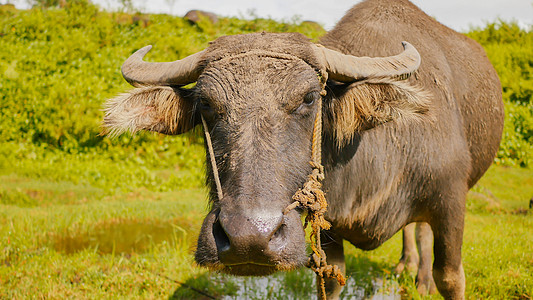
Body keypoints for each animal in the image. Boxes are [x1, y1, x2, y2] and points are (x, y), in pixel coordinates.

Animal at [104, 0, 502, 298]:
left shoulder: (451, 199)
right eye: (205, 104)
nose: (249, 239)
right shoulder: (329, 230)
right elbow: (330, 278)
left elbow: (450, 277)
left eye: (309, 98)